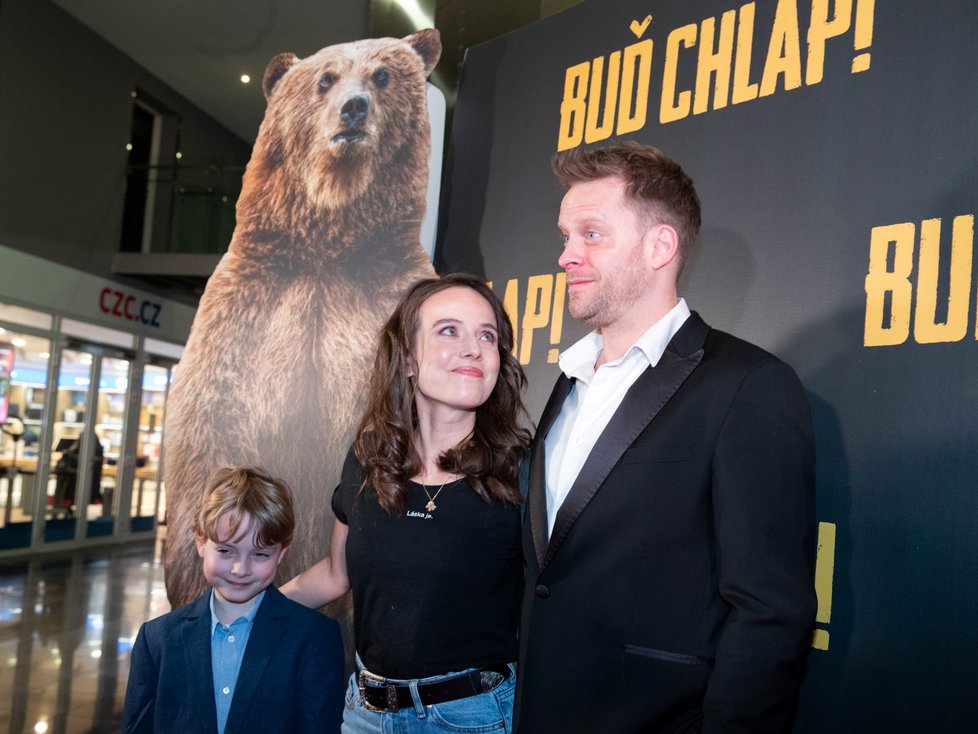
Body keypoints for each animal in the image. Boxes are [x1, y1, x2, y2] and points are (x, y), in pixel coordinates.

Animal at [163, 30, 438, 616]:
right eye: (325, 79)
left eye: (383, 74)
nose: (354, 108)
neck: (325, 252)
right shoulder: (243, 319)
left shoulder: (380, 302)